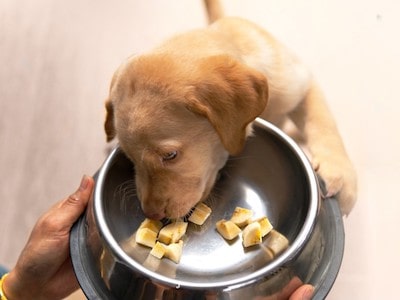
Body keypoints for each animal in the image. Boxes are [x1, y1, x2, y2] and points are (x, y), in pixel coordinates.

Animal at [103, 0, 356, 220]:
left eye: (170, 156)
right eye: (129, 156)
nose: (151, 214)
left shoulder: (300, 82)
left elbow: (322, 121)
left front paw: (340, 176)